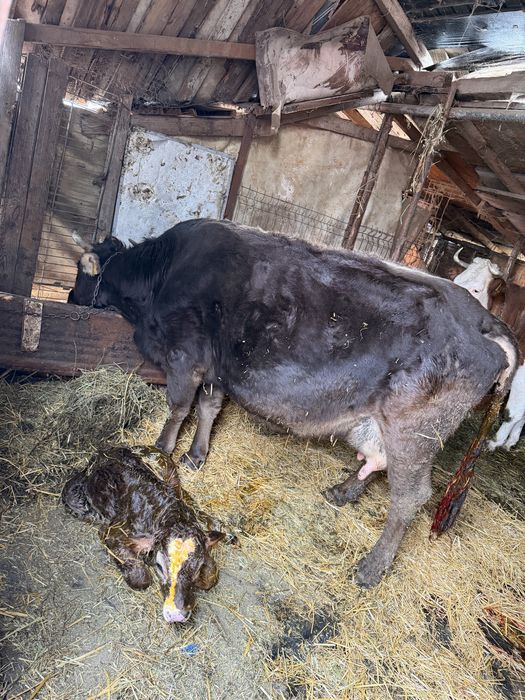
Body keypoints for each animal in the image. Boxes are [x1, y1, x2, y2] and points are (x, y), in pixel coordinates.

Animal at [62, 446, 224, 623]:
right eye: (159, 566)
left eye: (197, 567)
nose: (176, 615)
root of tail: (105, 450)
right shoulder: (111, 532)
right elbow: (141, 578)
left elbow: (211, 576)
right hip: (73, 498)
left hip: (167, 468)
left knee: (183, 493)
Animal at [68, 219, 518, 587]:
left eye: (78, 270)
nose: (71, 297)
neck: (162, 277)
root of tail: (482, 319)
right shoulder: (215, 367)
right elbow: (209, 408)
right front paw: (196, 456)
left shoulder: (186, 356)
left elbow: (178, 408)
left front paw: (160, 451)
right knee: (378, 461)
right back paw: (342, 492)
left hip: (415, 429)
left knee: (410, 496)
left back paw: (372, 567)